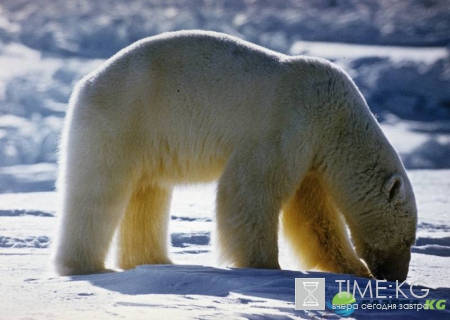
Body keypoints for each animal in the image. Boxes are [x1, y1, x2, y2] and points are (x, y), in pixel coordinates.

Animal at [53, 30, 418, 280]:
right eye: (408, 239)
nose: (396, 278)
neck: (335, 117)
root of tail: (85, 83)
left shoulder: (311, 154)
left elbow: (313, 215)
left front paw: (353, 269)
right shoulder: (287, 127)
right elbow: (251, 191)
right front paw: (265, 266)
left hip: (147, 141)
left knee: (147, 194)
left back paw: (154, 261)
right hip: (123, 119)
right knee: (98, 191)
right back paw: (83, 266)